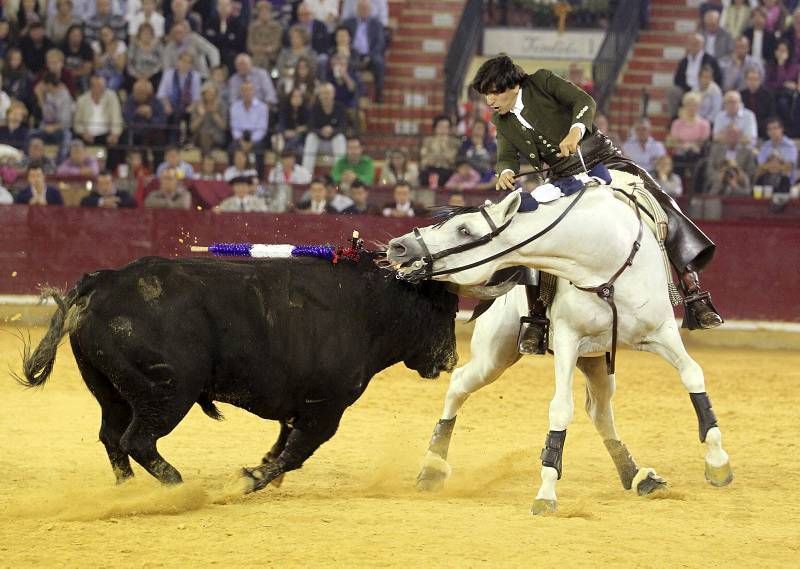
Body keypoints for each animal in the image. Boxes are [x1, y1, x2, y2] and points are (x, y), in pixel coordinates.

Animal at [18, 255, 456, 490]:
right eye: (445, 310)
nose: (452, 359)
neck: (370, 309)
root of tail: (104, 280)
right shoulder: (326, 407)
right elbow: (296, 452)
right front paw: (251, 479)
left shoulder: (301, 406)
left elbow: (283, 443)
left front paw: (261, 471)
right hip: (168, 392)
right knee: (137, 440)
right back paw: (178, 487)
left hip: (112, 392)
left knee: (112, 436)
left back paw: (129, 489)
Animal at [384, 178, 736, 516]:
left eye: (465, 229)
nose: (399, 246)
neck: (601, 257)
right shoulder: (568, 339)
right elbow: (561, 409)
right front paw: (546, 493)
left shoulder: (662, 332)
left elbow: (692, 374)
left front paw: (718, 463)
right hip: (495, 355)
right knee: (459, 384)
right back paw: (431, 468)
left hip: (595, 360)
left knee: (600, 411)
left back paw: (637, 476)